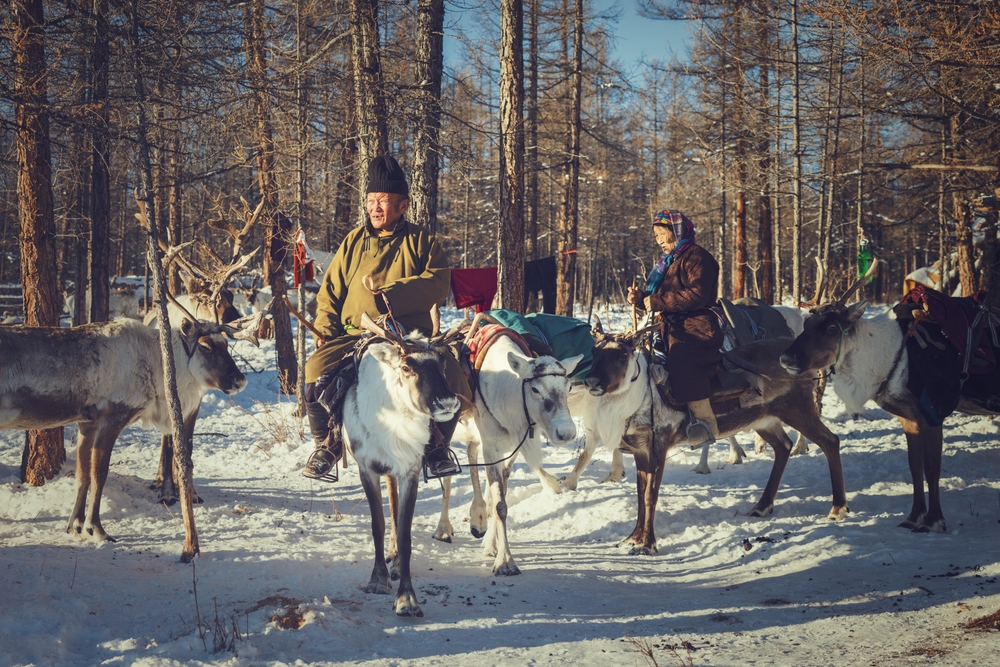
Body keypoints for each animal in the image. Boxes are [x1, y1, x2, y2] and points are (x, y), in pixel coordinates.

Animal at [780, 259, 1000, 533]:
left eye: (831, 328)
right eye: (807, 324)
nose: (785, 359)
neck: (882, 359)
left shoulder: (933, 412)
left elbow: (932, 468)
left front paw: (933, 521)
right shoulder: (909, 417)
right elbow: (915, 466)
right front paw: (913, 516)